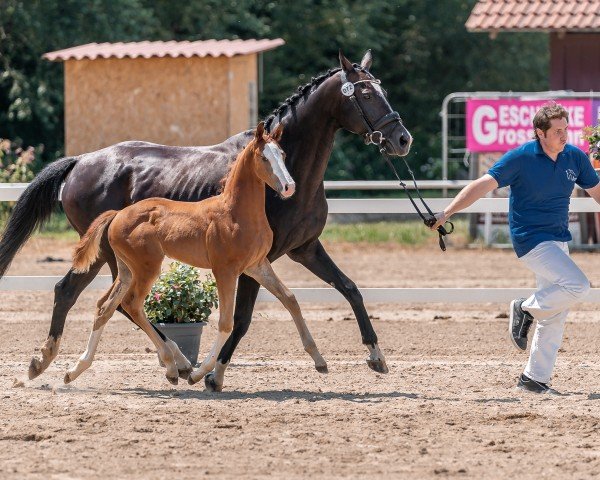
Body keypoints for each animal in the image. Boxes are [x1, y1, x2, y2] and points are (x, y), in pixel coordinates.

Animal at [67, 123, 326, 386]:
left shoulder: (257, 266)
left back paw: (75, 369)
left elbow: (290, 299)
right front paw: (200, 374)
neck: (236, 213)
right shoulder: (225, 271)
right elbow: (226, 323)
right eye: (264, 157)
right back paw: (173, 367)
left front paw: (319, 360)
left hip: (126, 270)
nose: (289, 187)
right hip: (147, 268)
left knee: (106, 306)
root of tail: (118, 214)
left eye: (282, 155)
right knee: (132, 305)